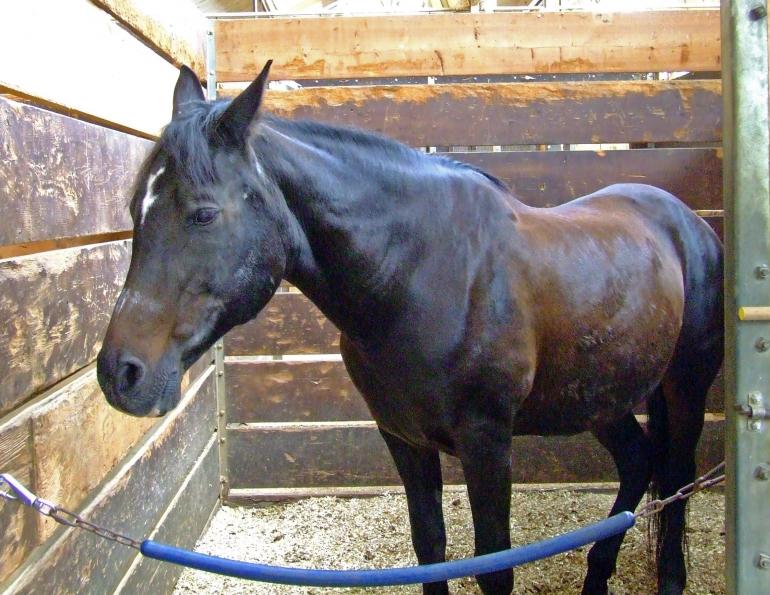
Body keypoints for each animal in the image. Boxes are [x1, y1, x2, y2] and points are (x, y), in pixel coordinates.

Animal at [96, 63, 723, 595]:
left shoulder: (486, 441)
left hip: (685, 388)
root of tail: (687, 222)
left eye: (203, 213)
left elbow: (494, 566)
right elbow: (431, 548)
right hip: (601, 397)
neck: (419, 276)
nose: (120, 373)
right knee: (639, 464)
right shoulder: (402, 437)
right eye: (133, 211)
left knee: (677, 477)